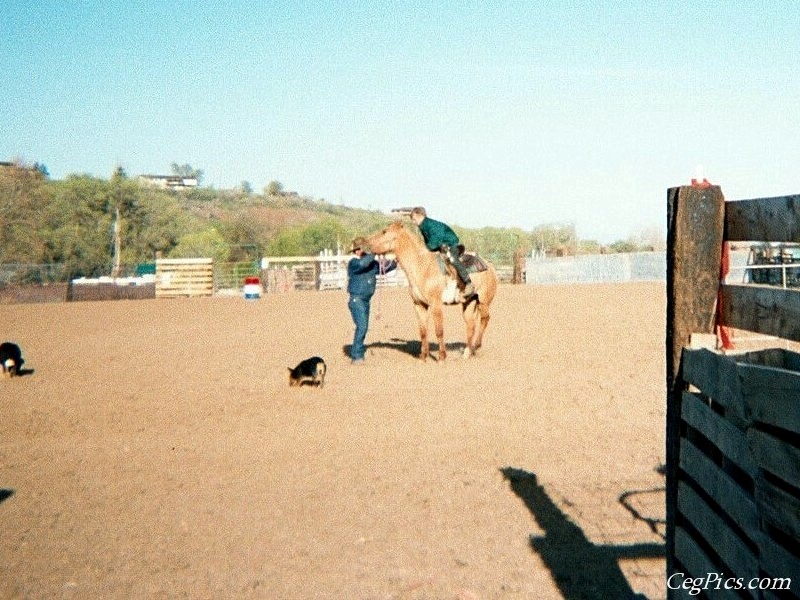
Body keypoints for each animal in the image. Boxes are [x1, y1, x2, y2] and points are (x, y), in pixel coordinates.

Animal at [366, 220, 496, 360]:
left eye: (384, 231)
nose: (367, 243)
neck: (422, 267)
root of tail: (490, 266)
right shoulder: (419, 304)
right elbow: (423, 331)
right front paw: (423, 356)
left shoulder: (436, 304)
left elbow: (439, 331)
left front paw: (442, 357)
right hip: (469, 302)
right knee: (471, 325)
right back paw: (467, 353)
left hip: (484, 301)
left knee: (485, 319)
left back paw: (476, 346)